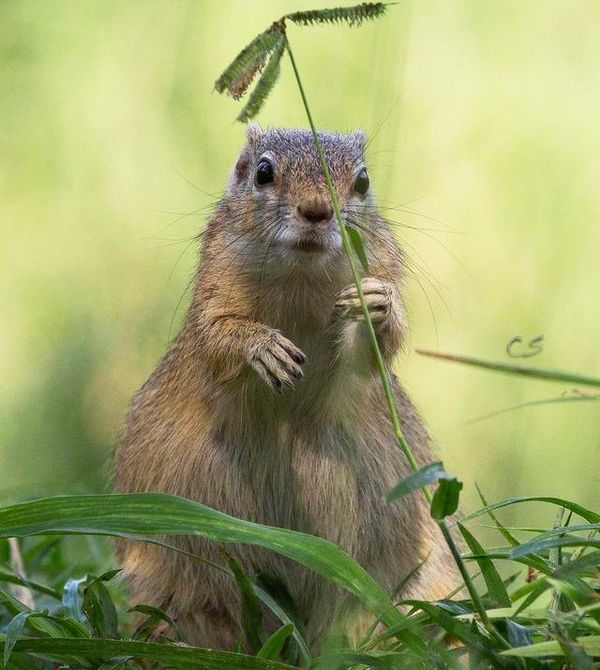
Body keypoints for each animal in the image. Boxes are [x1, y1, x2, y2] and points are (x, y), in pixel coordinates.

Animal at [115, 124, 458, 652]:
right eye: (263, 172)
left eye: (362, 181)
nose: (316, 210)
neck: (300, 278)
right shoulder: (213, 296)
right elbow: (219, 338)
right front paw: (264, 348)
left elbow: (373, 351)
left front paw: (376, 302)